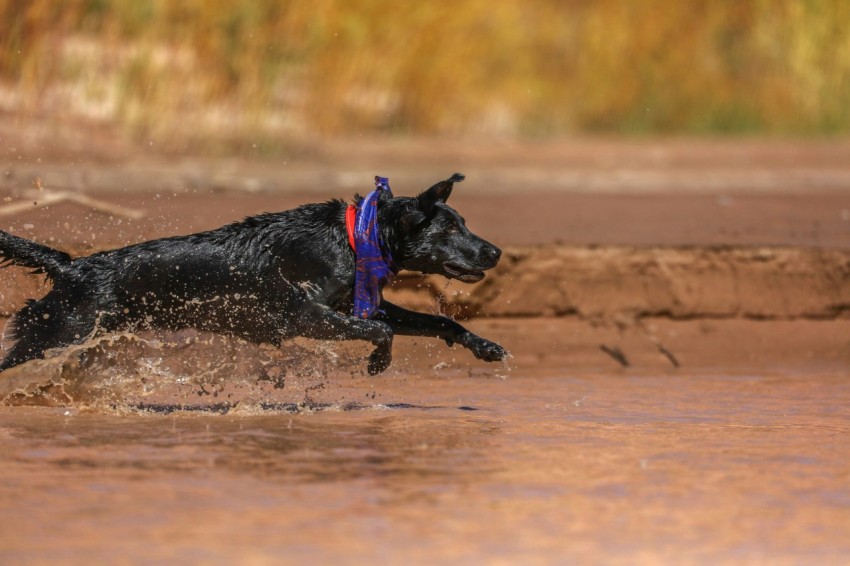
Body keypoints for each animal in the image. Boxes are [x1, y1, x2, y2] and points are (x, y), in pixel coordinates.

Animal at [0, 174, 504, 378]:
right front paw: (378, 362)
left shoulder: (352, 304)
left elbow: (438, 321)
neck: (353, 238)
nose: (496, 251)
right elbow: (382, 330)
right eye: (451, 228)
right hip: (59, 332)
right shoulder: (302, 316)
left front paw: (484, 346)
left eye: (462, 222)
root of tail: (72, 265)